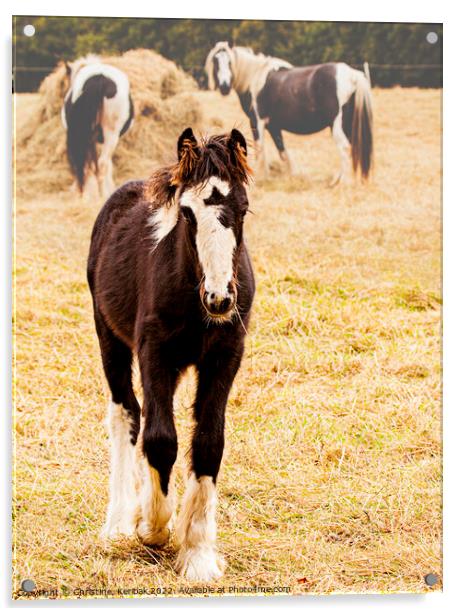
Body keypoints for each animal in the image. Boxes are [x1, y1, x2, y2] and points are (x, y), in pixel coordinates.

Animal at [87, 127, 256, 580]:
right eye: (187, 213)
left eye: (243, 208)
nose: (219, 298)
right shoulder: (154, 352)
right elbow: (160, 438)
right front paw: (153, 527)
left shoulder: (225, 356)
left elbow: (209, 442)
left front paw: (198, 554)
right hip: (109, 336)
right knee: (126, 412)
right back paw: (119, 521)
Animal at [206, 42, 372, 184]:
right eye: (216, 61)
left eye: (229, 62)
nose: (224, 87)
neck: (254, 77)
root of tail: (352, 75)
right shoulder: (273, 126)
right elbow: (283, 152)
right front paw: (293, 175)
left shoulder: (257, 122)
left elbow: (260, 150)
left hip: (337, 125)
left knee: (344, 148)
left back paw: (343, 182)